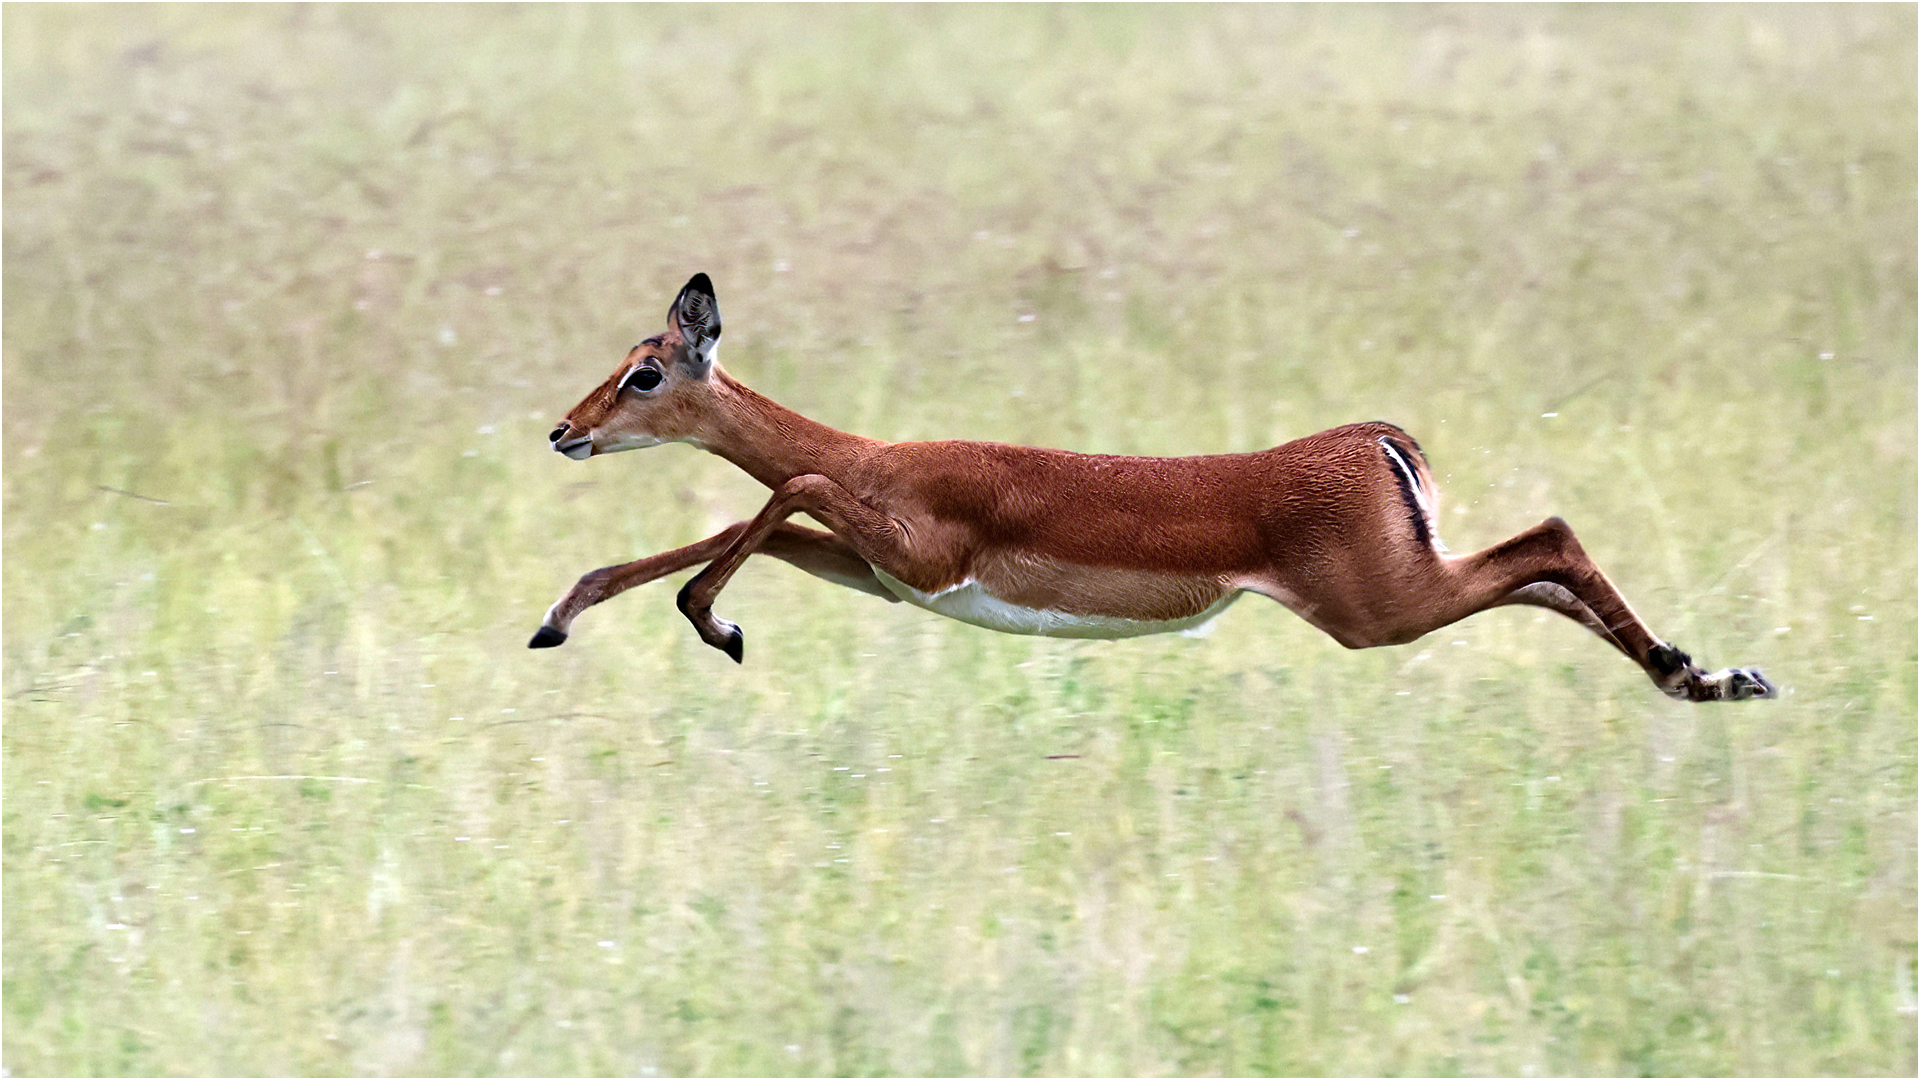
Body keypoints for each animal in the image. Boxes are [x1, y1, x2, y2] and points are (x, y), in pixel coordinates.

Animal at [530, 274, 1775, 703]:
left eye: (646, 371)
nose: (563, 431)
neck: (888, 458)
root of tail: (1377, 440)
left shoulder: (914, 552)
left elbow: (779, 482)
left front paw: (717, 628)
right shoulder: (878, 571)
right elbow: (735, 522)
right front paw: (560, 617)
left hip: (1382, 608)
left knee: (1549, 538)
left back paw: (1701, 674)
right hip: (1403, 589)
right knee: (1545, 574)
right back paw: (1711, 676)